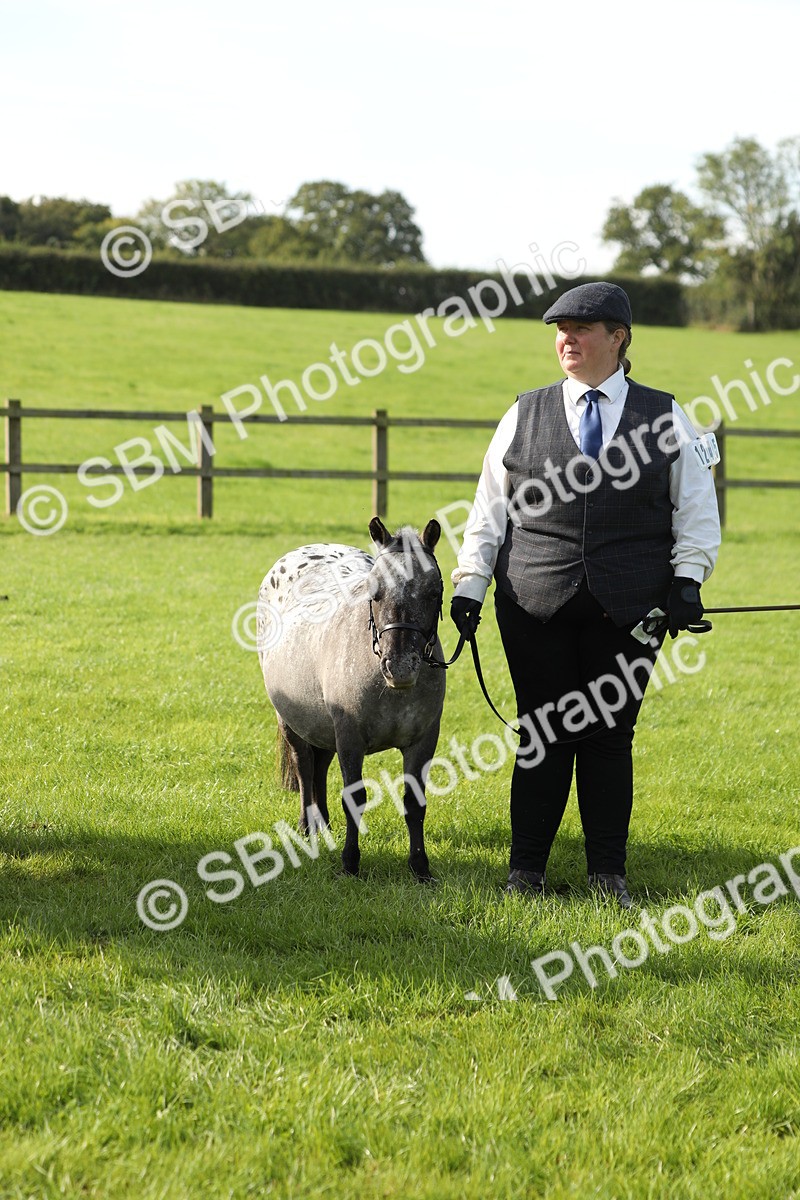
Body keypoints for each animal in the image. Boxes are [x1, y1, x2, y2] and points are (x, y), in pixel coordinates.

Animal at [257, 517, 447, 881]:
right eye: (375, 592)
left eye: (435, 592)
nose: (400, 666)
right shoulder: (349, 737)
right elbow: (354, 798)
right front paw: (350, 862)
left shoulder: (423, 740)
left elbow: (415, 803)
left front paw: (420, 867)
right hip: (291, 721)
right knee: (305, 768)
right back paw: (306, 826)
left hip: (321, 725)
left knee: (319, 767)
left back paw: (324, 825)